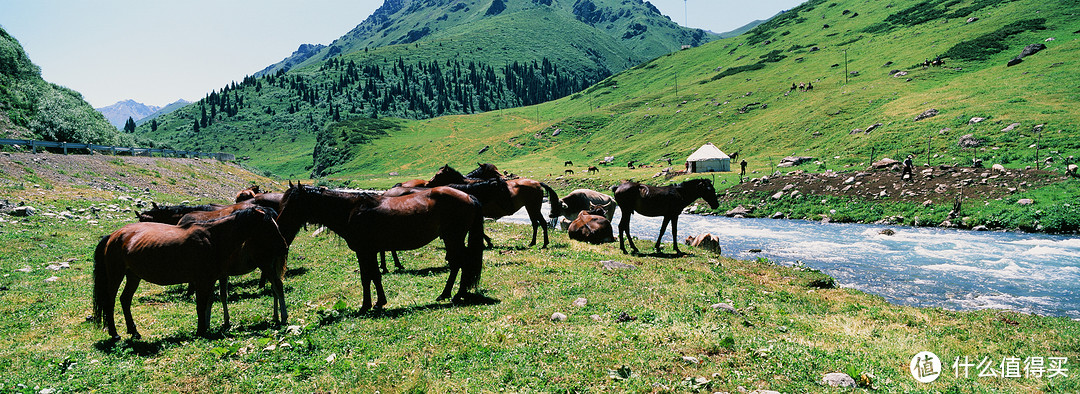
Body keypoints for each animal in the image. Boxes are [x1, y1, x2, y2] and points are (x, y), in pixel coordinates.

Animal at [93, 206, 287, 336]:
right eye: (268, 226)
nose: (283, 247)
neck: (213, 237)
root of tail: (112, 236)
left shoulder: (209, 280)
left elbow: (207, 303)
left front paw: (205, 327)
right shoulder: (202, 280)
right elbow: (201, 305)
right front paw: (202, 330)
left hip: (133, 276)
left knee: (125, 300)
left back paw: (133, 331)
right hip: (116, 275)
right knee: (110, 302)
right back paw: (114, 334)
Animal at [274, 182, 486, 308]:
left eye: (292, 205)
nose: (279, 227)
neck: (351, 211)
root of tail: (468, 196)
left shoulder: (365, 251)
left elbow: (369, 277)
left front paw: (369, 305)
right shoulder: (368, 252)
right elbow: (371, 276)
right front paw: (376, 302)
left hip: (454, 238)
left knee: (461, 263)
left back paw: (456, 295)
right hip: (452, 239)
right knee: (457, 264)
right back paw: (447, 294)